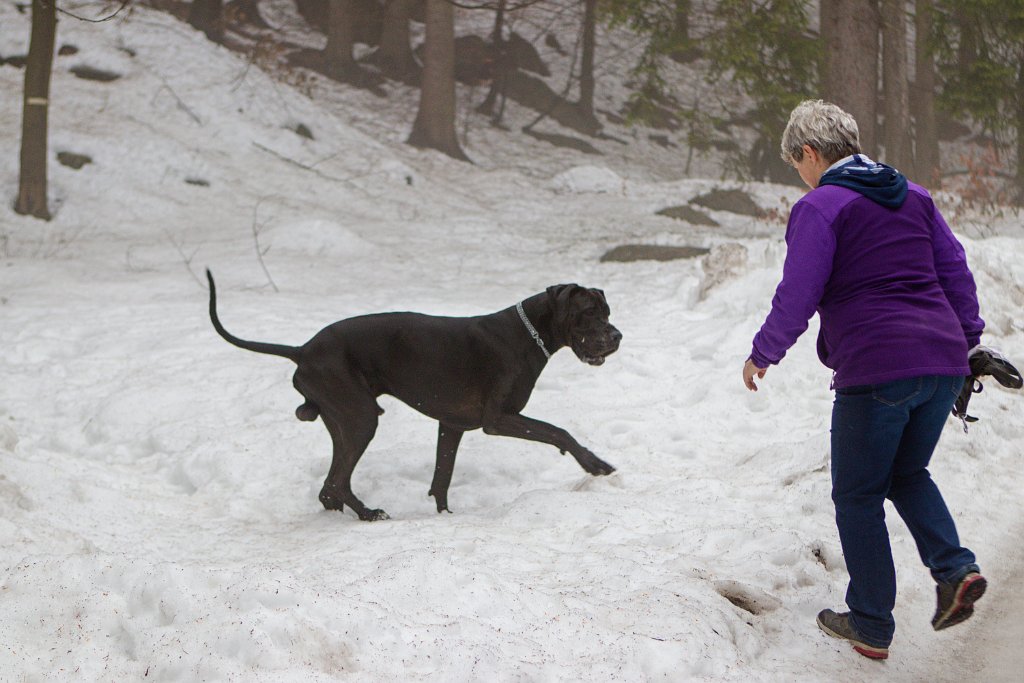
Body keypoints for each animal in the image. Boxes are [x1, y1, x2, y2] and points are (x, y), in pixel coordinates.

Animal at [204, 270, 618, 520]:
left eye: (608, 311)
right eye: (588, 312)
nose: (617, 336)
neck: (528, 335)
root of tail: (302, 349)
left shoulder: (452, 426)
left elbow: (442, 478)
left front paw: (445, 518)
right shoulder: (498, 420)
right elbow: (558, 431)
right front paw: (595, 463)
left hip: (344, 420)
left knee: (329, 486)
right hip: (361, 419)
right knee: (337, 481)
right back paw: (369, 514)